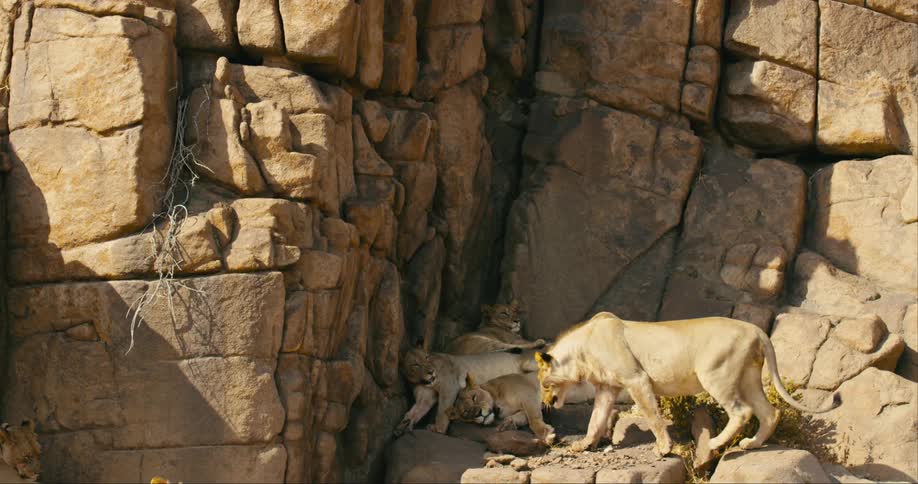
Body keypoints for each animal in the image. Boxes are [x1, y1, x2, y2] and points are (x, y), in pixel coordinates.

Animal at [396, 345, 539, 435]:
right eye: (415, 364)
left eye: (427, 357)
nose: (431, 372)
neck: (425, 382)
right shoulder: (425, 397)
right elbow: (415, 411)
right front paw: (403, 425)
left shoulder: (449, 387)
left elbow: (442, 410)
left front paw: (438, 429)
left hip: (528, 363)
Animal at [535, 312, 840, 456]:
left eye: (544, 384)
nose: (544, 403)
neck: (582, 351)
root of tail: (756, 329)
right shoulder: (607, 389)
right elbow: (596, 420)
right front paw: (583, 444)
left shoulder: (636, 379)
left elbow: (652, 416)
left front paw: (664, 448)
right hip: (749, 378)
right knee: (770, 412)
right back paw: (751, 444)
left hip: (716, 374)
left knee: (742, 411)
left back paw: (714, 442)